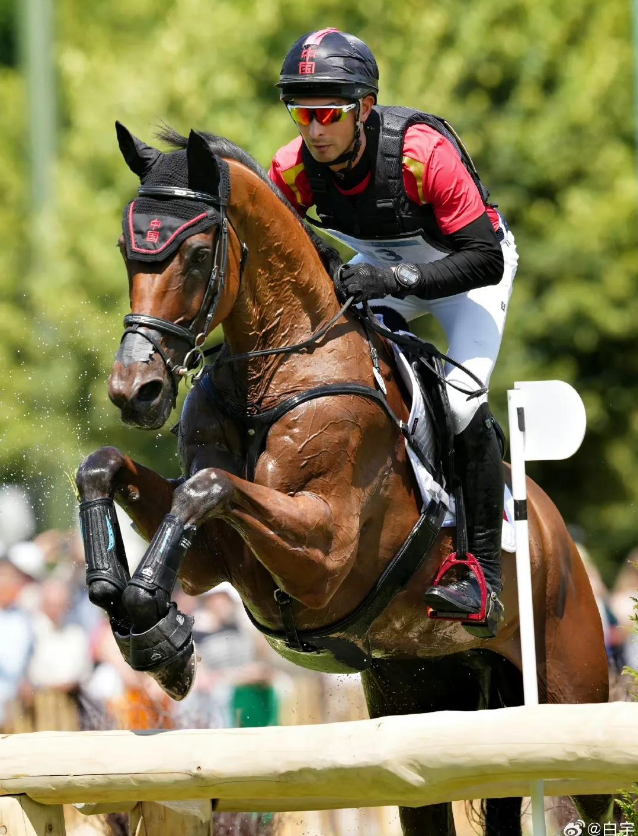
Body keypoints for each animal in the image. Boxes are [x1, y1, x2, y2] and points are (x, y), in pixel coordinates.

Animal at [76, 123, 611, 836]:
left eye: (194, 254)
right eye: (126, 250)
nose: (136, 390)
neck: (277, 371)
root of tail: (558, 537)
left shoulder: (325, 556)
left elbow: (207, 488)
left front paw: (154, 631)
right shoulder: (222, 561)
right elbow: (108, 468)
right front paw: (132, 611)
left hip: (571, 685)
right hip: (420, 701)